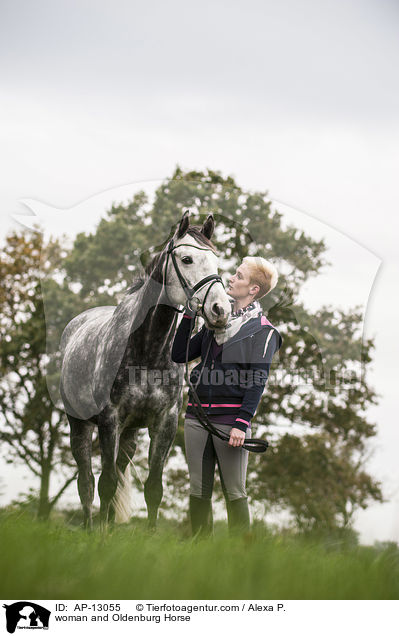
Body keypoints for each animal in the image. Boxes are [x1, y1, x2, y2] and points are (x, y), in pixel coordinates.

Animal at [59, 211, 231, 528]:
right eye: (187, 259)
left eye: (216, 261)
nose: (220, 310)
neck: (148, 351)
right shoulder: (109, 420)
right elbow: (105, 484)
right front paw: (100, 537)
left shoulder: (164, 423)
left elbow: (153, 488)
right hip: (79, 425)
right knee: (86, 483)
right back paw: (90, 527)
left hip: (129, 436)